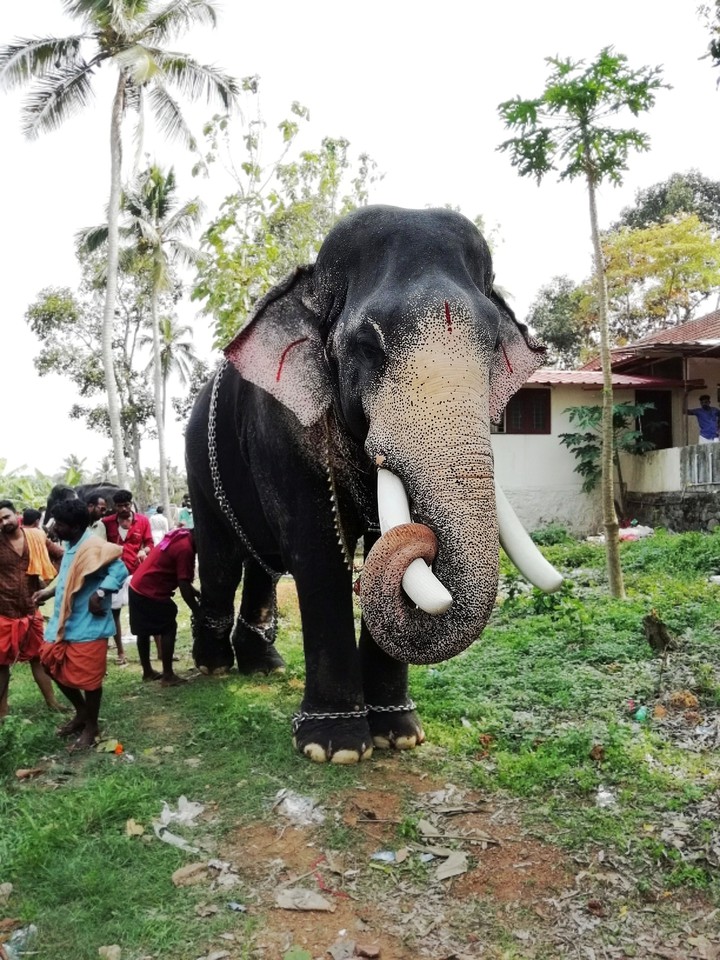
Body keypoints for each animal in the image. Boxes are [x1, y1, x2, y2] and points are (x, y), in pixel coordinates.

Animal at [185, 205, 562, 764]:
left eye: (494, 347)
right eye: (367, 346)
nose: (425, 541)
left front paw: (399, 735)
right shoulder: (280, 429)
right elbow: (319, 553)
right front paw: (335, 748)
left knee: (261, 567)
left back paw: (264, 666)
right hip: (197, 462)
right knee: (220, 560)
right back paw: (212, 667)